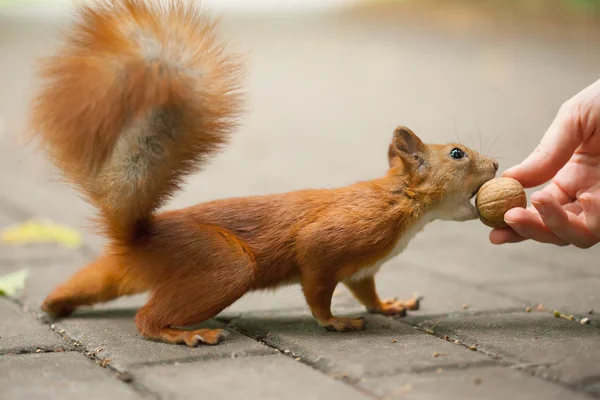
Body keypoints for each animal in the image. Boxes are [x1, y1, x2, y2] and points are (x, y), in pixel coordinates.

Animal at [30, 0, 500, 346]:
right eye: (457, 153)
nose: (496, 165)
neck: (400, 202)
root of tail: (140, 237)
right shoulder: (332, 240)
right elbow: (317, 285)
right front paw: (334, 322)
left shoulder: (364, 268)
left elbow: (366, 291)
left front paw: (387, 307)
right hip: (223, 264)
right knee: (147, 316)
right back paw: (183, 333)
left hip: (127, 271)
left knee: (97, 281)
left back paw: (55, 304)